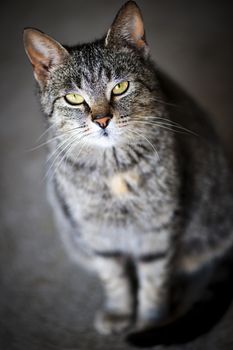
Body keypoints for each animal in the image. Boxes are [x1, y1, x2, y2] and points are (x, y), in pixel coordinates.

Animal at [22, 0, 233, 336]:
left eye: (120, 87)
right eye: (74, 98)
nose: (102, 120)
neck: (114, 170)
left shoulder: (158, 230)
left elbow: (153, 282)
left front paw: (150, 322)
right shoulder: (98, 235)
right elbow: (115, 278)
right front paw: (120, 312)